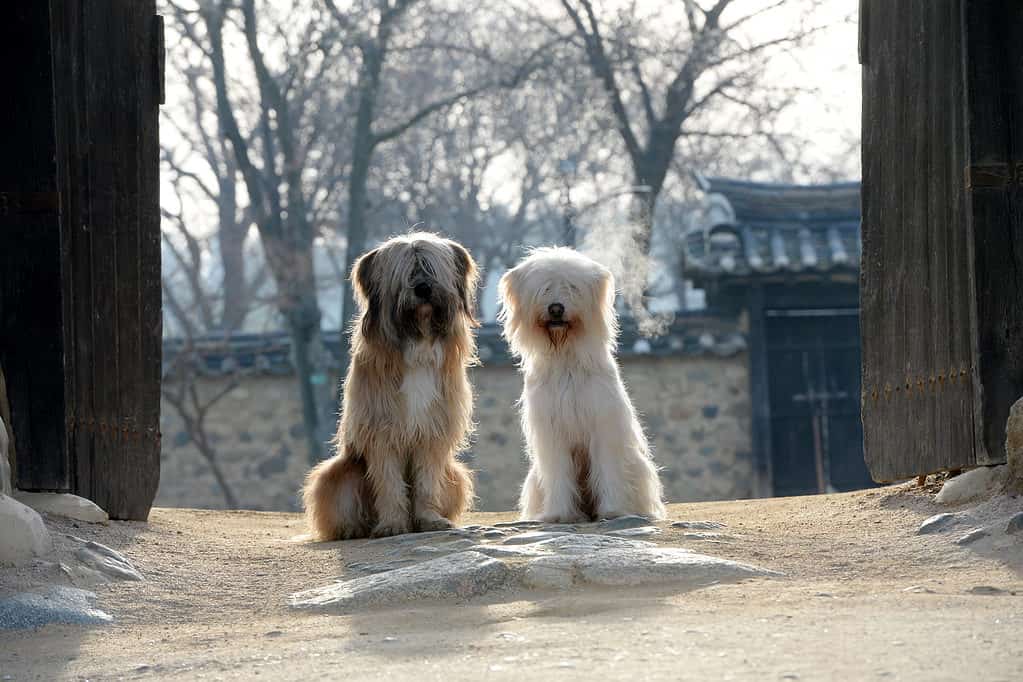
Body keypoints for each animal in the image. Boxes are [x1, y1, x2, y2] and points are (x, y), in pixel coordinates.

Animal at [300, 232, 480, 539]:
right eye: (406, 271)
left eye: (430, 268)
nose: (423, 288)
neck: (417, 343)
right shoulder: (382, 432)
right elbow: (389, 482)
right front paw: (393, 524)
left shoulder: (432, 431)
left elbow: (426, 482)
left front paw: (430, 520)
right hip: (338, 474)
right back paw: (353, 529)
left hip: (454, 475)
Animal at [499, 248, 666, 519]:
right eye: (545, 288)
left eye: (572, 287)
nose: (556, 308)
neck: (566, 357)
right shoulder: (552, 432)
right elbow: (558, 472)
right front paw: (559, 514)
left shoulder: (602, 424)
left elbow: (607, 467)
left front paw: (612, 511)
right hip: (534, 480)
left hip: (639, 467)